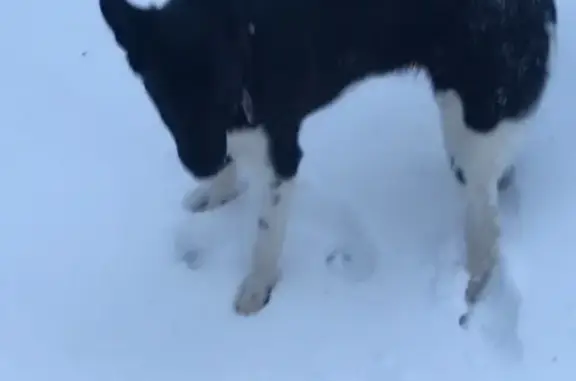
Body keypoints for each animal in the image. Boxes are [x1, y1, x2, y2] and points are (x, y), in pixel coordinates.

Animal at [100, 0, 560, 320]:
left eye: (222, 91)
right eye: (165, 99)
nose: (202, 166)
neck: (249, 45)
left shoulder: (283, 154)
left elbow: (266, 236)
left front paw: (257, 289)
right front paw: (218, 193)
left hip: (470, 121)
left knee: (487, 219)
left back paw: (476, 283)